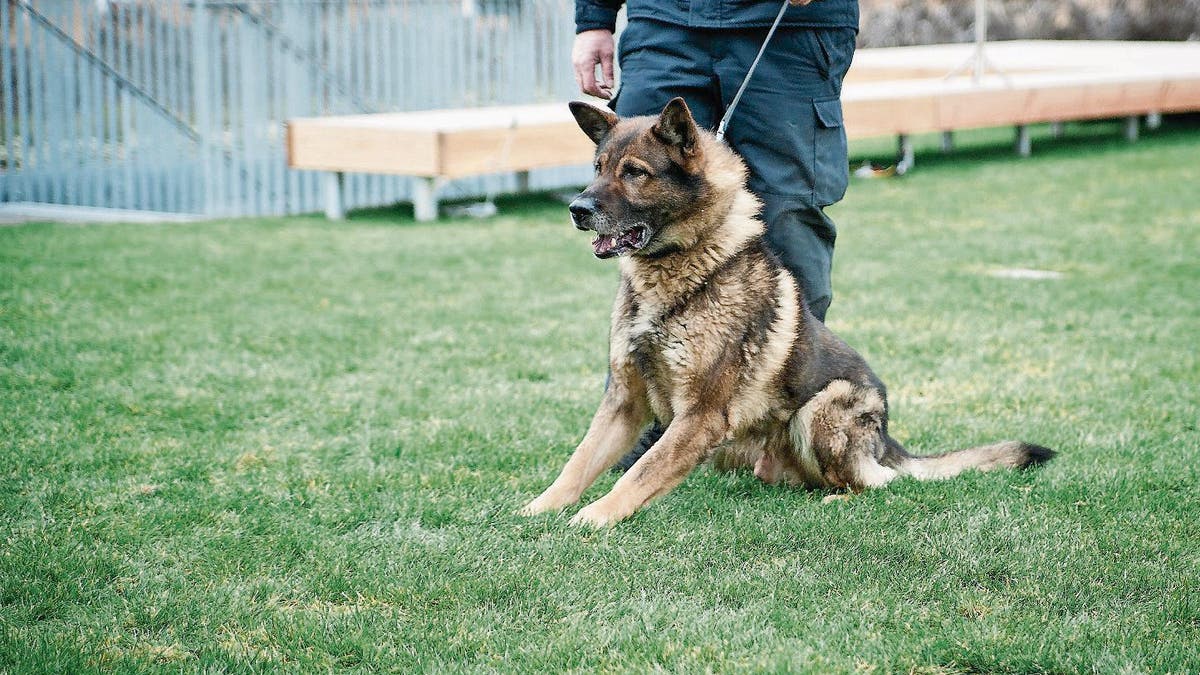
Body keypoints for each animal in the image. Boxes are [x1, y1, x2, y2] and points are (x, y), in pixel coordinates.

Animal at [520, 97, 1056, 526]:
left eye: (634, 172)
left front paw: (593, 518)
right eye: (598, 168)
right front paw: (538, 510)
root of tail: (887, 440)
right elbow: (579, 463)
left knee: (879, 484)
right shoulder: (624, 402)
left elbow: (638, 474)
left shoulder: (700, 416)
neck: (683, 267)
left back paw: (840, 500)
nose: (576, 209)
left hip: (822, 407)